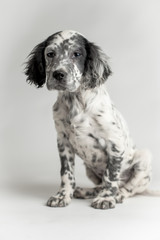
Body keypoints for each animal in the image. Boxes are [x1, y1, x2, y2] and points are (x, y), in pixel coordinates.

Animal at [24, 30, 151, 210]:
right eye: (50, 54)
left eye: (77, 54)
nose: (58, 74)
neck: (75, 101)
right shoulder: (63, 141)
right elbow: (66, 173)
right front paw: (63, 195)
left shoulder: (114, 142)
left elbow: (111, 175)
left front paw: (106, 198)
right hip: (89, 169)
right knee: (101, 184)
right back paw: (85, 191)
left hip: (145, 159)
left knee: (129, 188)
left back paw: (118, 194)